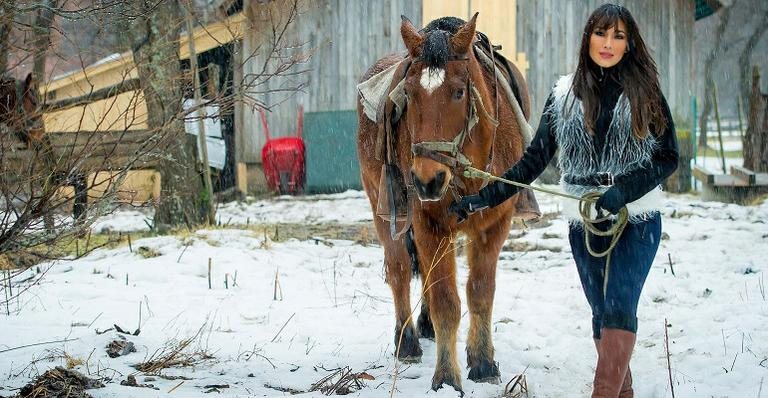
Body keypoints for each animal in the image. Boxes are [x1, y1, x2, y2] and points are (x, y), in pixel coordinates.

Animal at [356, 13, 536, 394]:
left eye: (458, 91)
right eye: (408, 94)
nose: (427, 179)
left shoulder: (494, 225)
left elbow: (480, 292)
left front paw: (483, 363)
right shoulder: (429, 222)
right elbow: (446, 301)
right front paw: (447, 375)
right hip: (384, 207)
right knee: (398, 269)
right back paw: (408, 341)